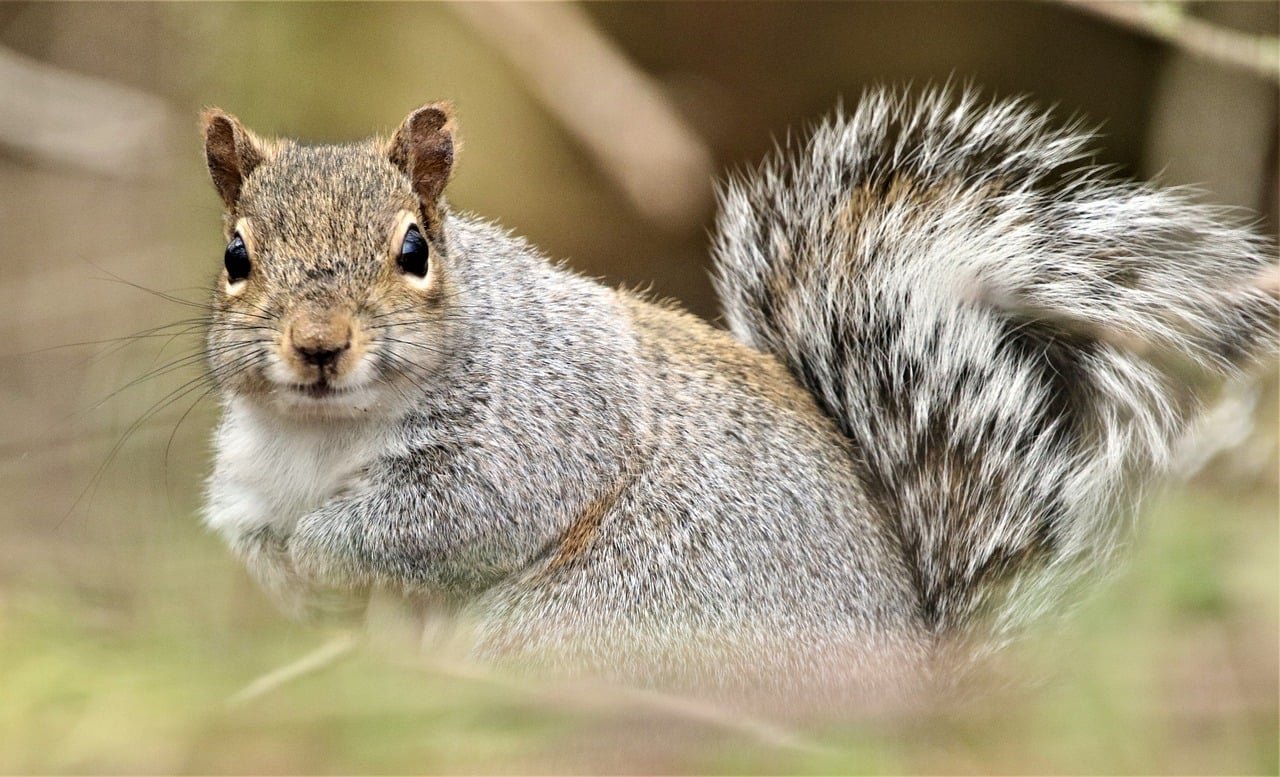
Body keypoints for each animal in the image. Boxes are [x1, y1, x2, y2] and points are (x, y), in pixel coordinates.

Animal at [199, 89, 1280, 701]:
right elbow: (255, 535)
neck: (321, 435)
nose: (318, 348)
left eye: (414, 251)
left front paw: (321, 550)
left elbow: (447, 519)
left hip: (598, 625)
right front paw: (284, 569)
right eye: (235, 256)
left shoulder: (540, 429)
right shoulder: (249, 474)